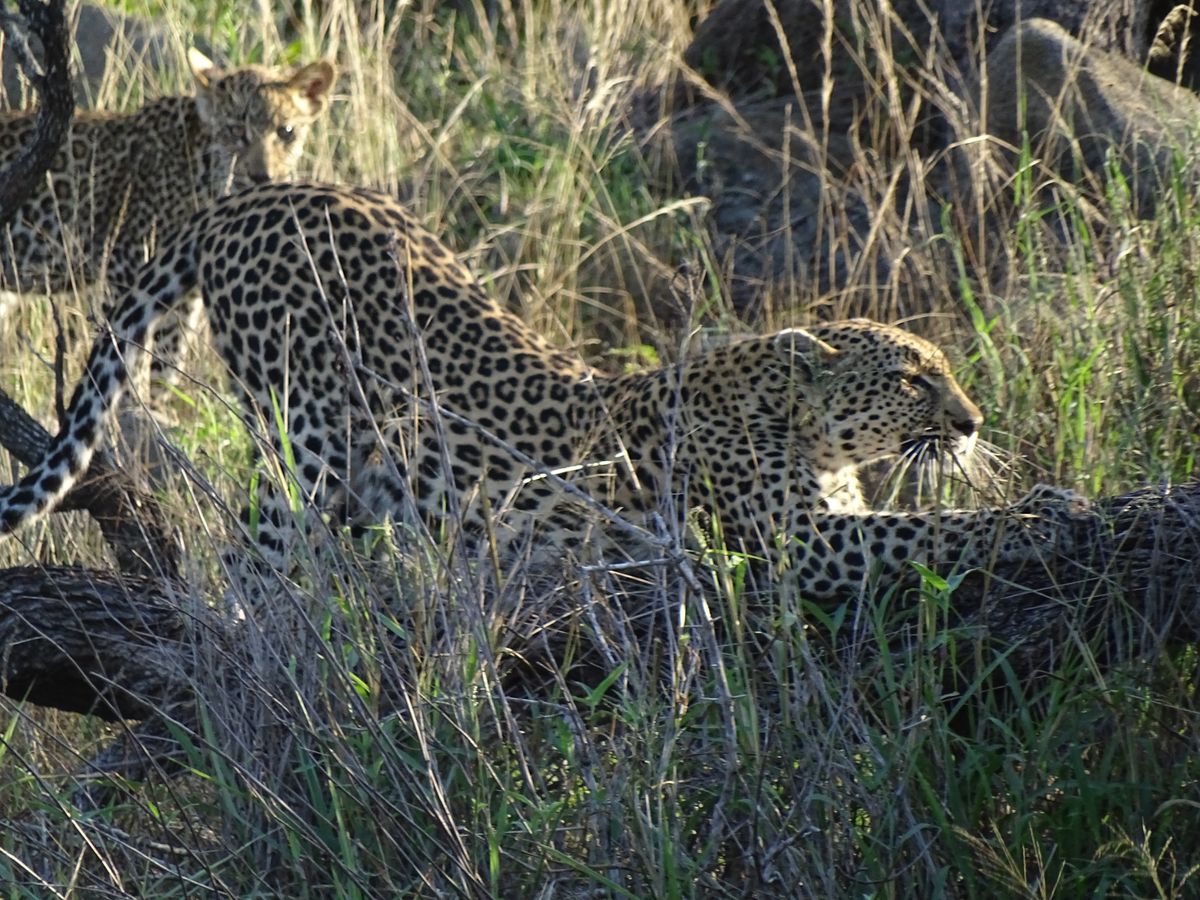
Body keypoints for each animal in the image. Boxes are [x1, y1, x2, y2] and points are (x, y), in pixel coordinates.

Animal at [0, 181, 1086, 601]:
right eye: (911, 376)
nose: (972, 422)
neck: (804, 427)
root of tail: (254, 194)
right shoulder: (800, 543)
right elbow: (933, 530)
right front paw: (1045, 517)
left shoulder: (826, 520)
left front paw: (1054, 495)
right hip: (300, 438)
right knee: (249, 564)